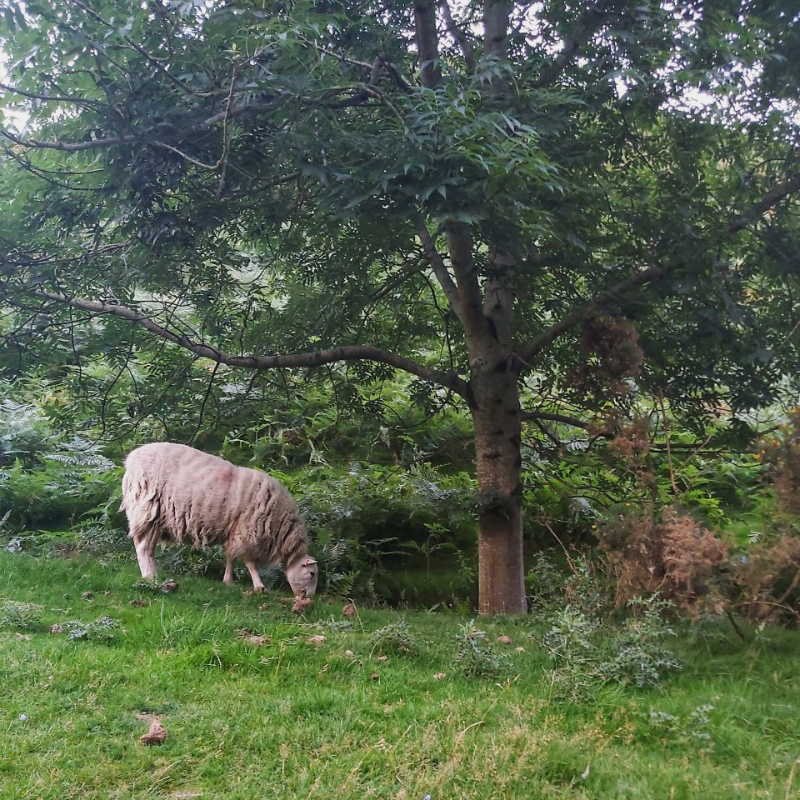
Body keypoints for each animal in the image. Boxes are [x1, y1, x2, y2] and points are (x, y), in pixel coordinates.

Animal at [120, 444, 318, 612]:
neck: (281, 529)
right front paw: (259, 586)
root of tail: (130, 461)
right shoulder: (247, 531)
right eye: (312, 573)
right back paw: (149, 576)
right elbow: (250, 562)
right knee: (143, 547)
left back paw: (154, 574)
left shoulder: (233, 532)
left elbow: (230, 556)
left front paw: (228, 581)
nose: (309, 599)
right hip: (147, 508)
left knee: (149, 548)